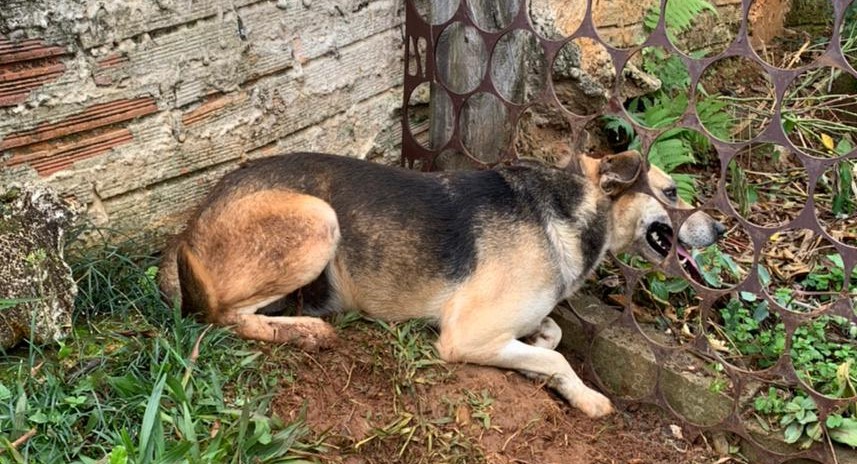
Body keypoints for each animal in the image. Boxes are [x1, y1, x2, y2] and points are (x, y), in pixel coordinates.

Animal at [155, 150, 724, 418]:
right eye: (673, 191)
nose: (721, 230)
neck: (569, 209)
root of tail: (189, 227)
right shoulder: (465, 337)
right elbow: (561, 359)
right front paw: (584, 396)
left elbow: (553, 337)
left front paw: (538, 350)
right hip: (318, 220)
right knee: (222, 316)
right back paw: (307, 331)